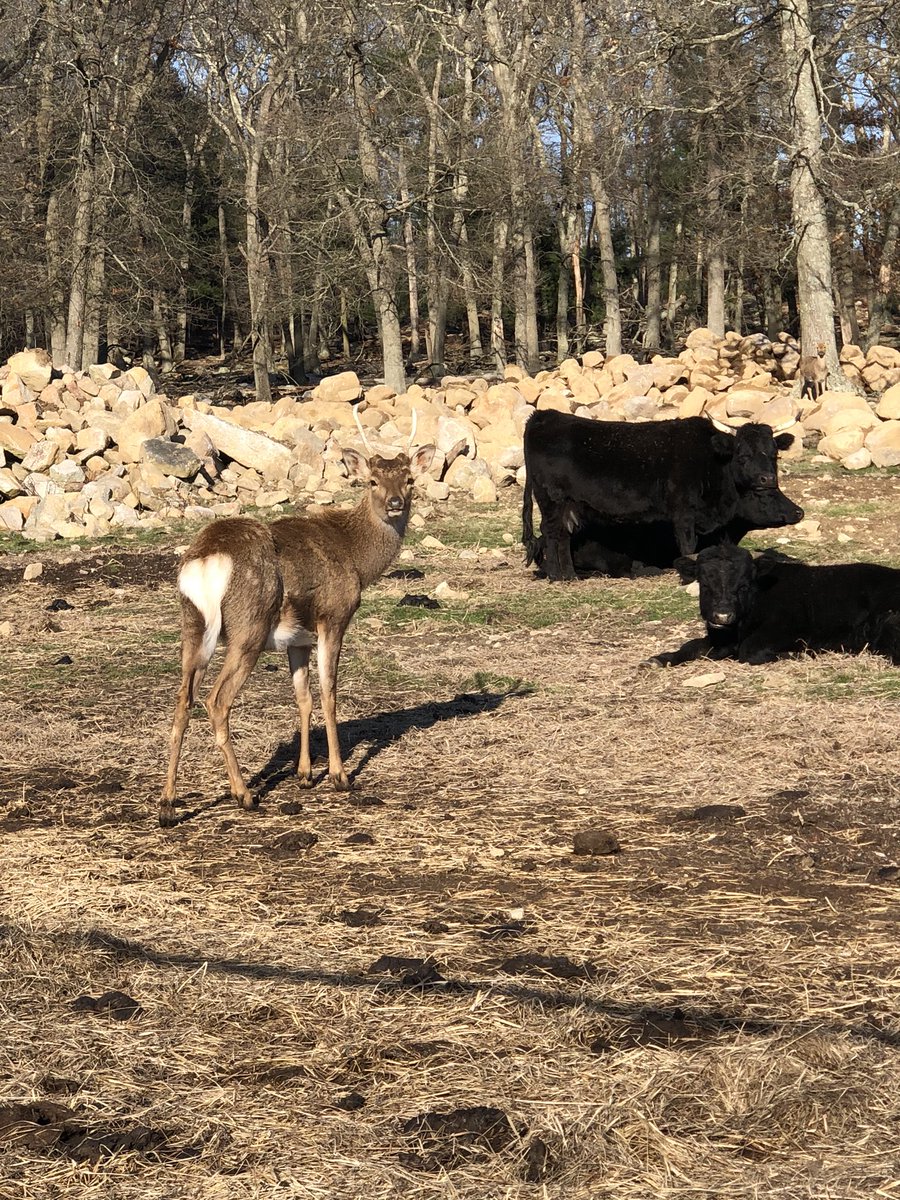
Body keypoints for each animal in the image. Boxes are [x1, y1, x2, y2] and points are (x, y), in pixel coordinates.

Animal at [159, 410, 435, 828]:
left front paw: (304, 775)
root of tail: (206, 558)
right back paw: (244, 794)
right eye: (371, 480)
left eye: (409, 479)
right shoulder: (334, 616)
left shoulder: (298, 638)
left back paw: (167, 805)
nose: (395, 502)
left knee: (182, 699)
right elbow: (329, 693)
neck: (357, 560)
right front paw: (339, 776)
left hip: (192, 625)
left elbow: (303, 697)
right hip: (248, 627)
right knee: (215, 701)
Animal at [521, 410, 802, 581]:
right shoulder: (683, 513)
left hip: (570, 505)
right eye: (742, 455)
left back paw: (570, 576)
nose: (768, 479)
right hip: (550, 499)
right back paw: (557, 576)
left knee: (563, 535)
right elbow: (688, 546)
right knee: (551, 533)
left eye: (774, 453)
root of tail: (543, 416)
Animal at [645, 543, 900, 667]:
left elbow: (749, 650)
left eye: (744, 585)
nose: (723, 615)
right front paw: (660, 659)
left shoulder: (785, 628)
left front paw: (795, 655)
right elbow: (692, 646)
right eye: (704, 584)